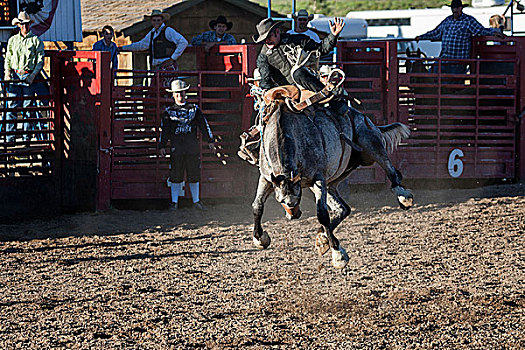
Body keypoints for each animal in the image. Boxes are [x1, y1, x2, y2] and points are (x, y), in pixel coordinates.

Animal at [251, 86, 414, 270]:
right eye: (281, 201)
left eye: (298, 197)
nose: (293, 215)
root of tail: (362, 116)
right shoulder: (266, 178)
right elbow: (257, 205)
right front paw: (260, 239)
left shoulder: (318, 179)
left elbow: (322, 214)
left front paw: (338, 254)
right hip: (331, 182)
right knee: (343, 208)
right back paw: (322, 238)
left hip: (372, 144)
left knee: (392, 171)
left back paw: (404, 196)